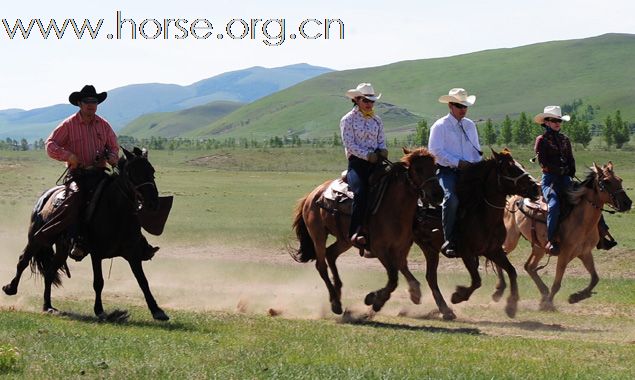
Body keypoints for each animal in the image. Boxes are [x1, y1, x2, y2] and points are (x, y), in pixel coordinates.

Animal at [2, 148, 170, 320]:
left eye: (152, 171)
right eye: (132, 173)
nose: (153, 203)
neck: (116, 211)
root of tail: (45, 196)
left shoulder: (133, 254)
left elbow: (143, 281)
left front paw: (157, 310)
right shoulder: (96, 253)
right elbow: (99, 282)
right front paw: (100, 310)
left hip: (62, 249)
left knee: (49, 272)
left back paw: (48, 306)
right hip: (37, 238)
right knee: (23, 260)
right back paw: (10, 288)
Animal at [292, 147, 444, 316]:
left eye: (435, 167)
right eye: (418, 169)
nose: (438, 194)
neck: (395, 208)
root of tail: (312, 194)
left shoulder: (401, 248)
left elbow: (400, 272)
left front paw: (412, 294)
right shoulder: (379, 249)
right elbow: (393, 278)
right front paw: (375, 300)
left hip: (345, 240)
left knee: (330, 254)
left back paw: (338, 291)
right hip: (318, 235)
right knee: (321, 265)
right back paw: (335, 302)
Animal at [412, 148, 540, 318]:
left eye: (522, 166)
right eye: (509, 169)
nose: (536, 187)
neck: (481, 214)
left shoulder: (493, 251)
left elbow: (512, 271)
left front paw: (511, 306)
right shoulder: (466, 252)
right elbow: (477, 280)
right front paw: (458, 296)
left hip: (430, 249)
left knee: (430, 277)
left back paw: (443, 309)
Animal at [502, 162, 632, 310]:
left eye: (620, 180)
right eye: (606, 181)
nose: (627, 203)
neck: (581, 220)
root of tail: (513, 198)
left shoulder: (585, 252)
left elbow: (595, 278)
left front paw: (577, 296)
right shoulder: (564, 254)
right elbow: (557, 284)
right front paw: (548, 304)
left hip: (539, 247)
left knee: (529, 267)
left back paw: (544, 293)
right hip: (511, 240)